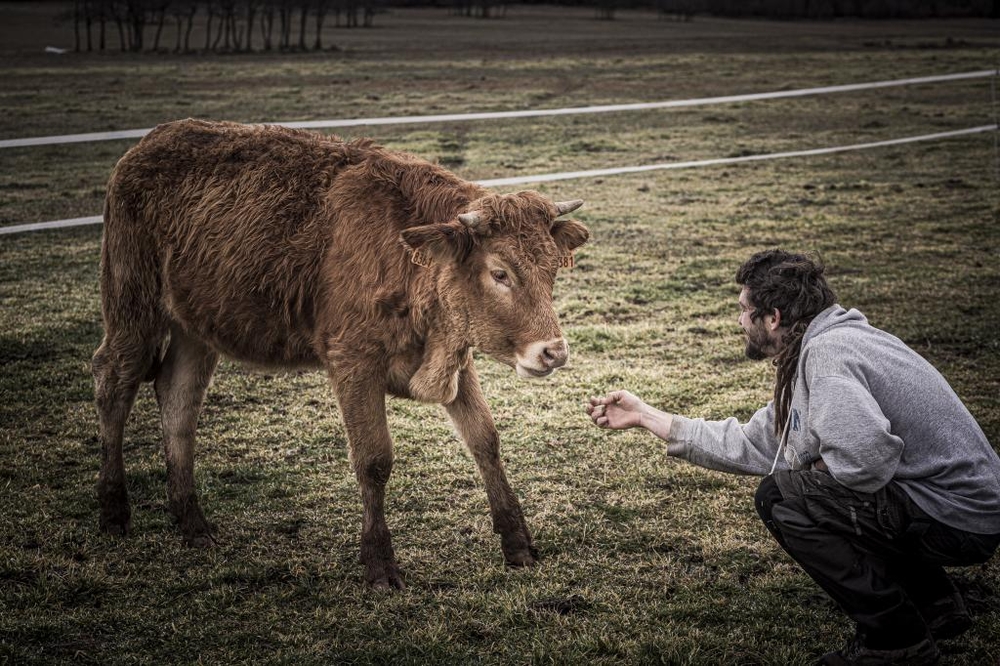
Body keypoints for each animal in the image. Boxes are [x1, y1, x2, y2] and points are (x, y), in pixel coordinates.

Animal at [92, 119, 584, 588]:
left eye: (551, 269)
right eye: (499, 273)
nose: (553, 352)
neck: (406, 255)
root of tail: (143, 149)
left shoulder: (453, 358)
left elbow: (484, 440)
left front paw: (517, 543)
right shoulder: (352, 362)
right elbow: (373, 459)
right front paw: (379, 564)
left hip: (195, 330)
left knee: (178, 399)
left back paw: (193, 524)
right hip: (133, 309)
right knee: (114, 384)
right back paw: (114, 513)